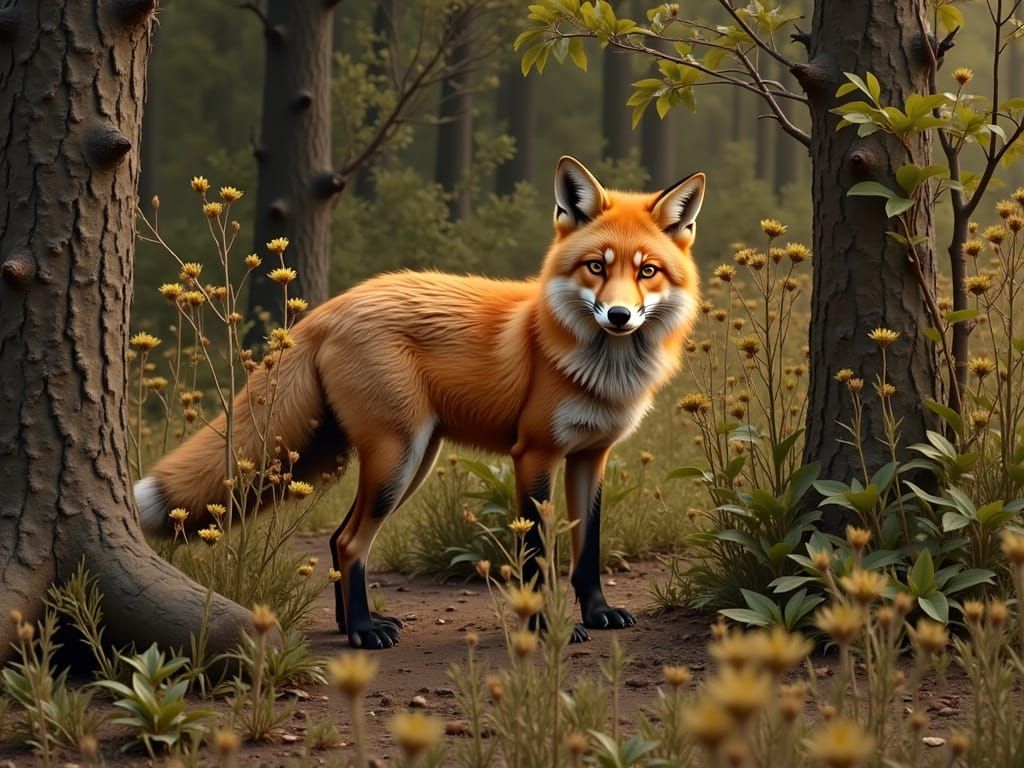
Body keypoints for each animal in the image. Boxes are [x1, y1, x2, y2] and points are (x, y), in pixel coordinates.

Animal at [134, 156, 705, 649]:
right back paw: (364, 633)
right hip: (398, 457)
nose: (618, 316)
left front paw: (598, 613)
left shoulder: (591, 455)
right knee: (350, 541)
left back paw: (349, 625)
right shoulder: (535, 453)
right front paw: (543, 628)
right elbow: (535, 554)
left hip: (415, 460)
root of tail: (331, 307)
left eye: (647, 271)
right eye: (595, 267)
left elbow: (589, 550)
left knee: (339, 538)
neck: (601, 370)